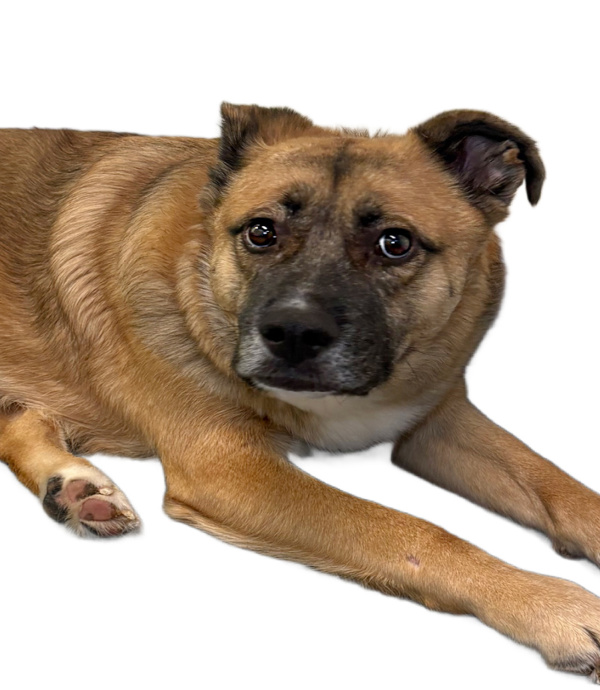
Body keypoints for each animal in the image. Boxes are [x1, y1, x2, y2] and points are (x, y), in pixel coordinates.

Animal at [1, 104, 599, 679]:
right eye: (261, 232)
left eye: (395, 243)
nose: (293, 332)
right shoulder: (231, 469)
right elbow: (412, 532)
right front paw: (552, 605)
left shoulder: (436, 422)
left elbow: (556, 484)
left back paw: (75, 488)